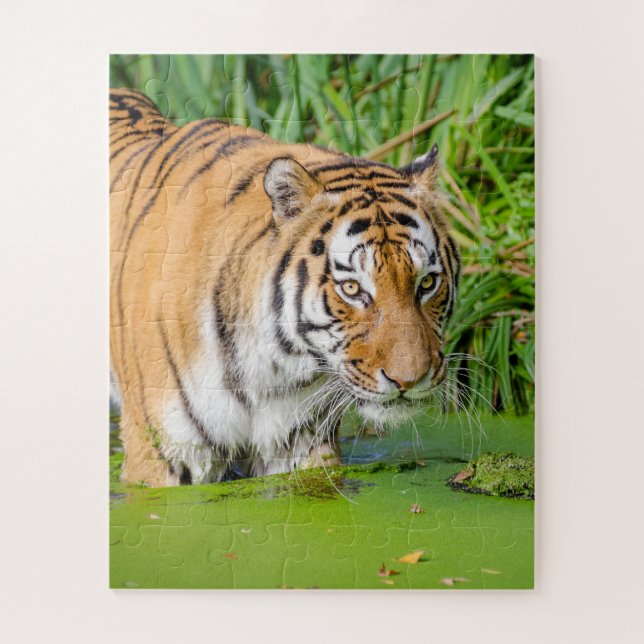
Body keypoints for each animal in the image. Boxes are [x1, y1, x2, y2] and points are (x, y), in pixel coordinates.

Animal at [109, 88, 460, 487]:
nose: (408, 381)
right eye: (352, 288)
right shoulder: (162, 454)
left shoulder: (299, 443)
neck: (273, 369)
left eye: (427, 282)